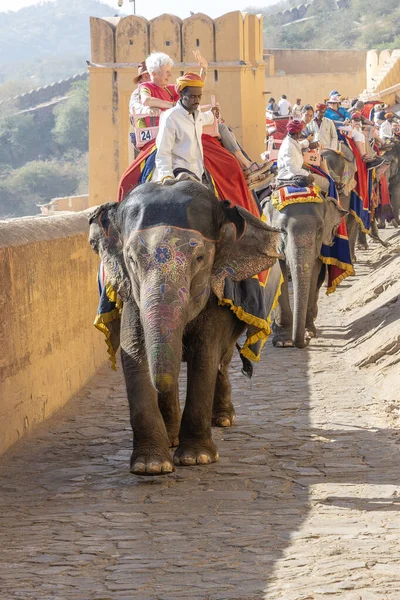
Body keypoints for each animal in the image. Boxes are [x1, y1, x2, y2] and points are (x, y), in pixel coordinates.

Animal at [89, 180, 280, 476]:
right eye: (131, 259)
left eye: (200, 257)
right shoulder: (131, 292)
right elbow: (134, 352)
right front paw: (151, 466)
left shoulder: (215, 288)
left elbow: (204, 354)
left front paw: (196, 458)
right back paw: (171, 437)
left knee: (222, 359)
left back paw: (223, 419)